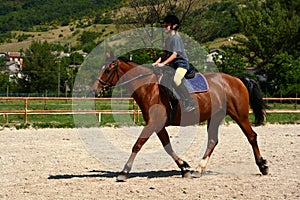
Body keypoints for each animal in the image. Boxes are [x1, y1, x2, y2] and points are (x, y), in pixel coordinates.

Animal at [90, 56, 268, 181]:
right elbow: (167, 147)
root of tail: (237, 79)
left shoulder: (152, 123)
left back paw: (263, 166)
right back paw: (199, 169)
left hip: (240, 115)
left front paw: (124, 171)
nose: (94, 90)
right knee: (213, 140)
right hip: (215, 117)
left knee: (251, 136)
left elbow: (137, 145)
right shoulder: (157, 125)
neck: (148, 87)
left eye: (107, 71)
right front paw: (184, 168)